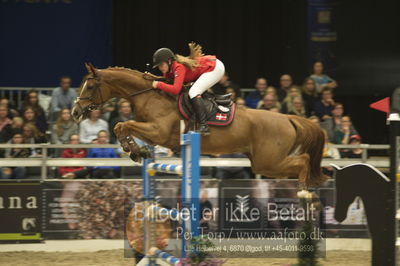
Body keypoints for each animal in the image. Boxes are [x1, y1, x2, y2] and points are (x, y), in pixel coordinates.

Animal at [72, 64, 328, 189]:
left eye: (91, 86)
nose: (75, 112)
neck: (149, 95)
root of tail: (288, 118)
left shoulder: (159, 132)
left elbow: (123, 125)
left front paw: (135, 151)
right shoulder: (153, 133)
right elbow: (121, 127)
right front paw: (137, 151)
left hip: (269, 161)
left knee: (304, 161)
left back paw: (305, 193)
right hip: (264, 162)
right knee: (302, 162)